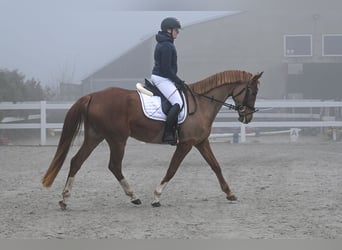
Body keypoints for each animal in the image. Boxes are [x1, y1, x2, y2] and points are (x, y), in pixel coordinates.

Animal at [42, 69, 262, 208]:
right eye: (252, 91)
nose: (248, 117)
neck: (202, 103)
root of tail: (93, 96)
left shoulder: (201, 142)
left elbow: (216, 166)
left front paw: (230, 193)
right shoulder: (186, 144)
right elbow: (172, 169)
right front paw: (156, 197)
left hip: (95, 136)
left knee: (76, 161)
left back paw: (65, 199)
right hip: (117, 139)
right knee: (114, 166)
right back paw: (134, 197)